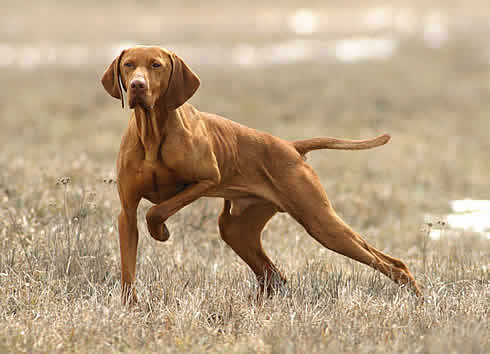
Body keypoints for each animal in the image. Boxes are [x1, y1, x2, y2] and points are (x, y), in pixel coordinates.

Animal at [100, 45, 422, 304]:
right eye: (128, 65)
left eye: (156, 65)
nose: (137, 86)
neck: (153, 134)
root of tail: (291, 146)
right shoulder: (126, 213)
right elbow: (128, 266)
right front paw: (130, 307)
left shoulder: (208, 179)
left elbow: (156, 211)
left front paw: (161, 232)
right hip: (236, 229)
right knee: (274, 277)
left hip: (321, 222)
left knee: (393, 264)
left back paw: (418, 298)